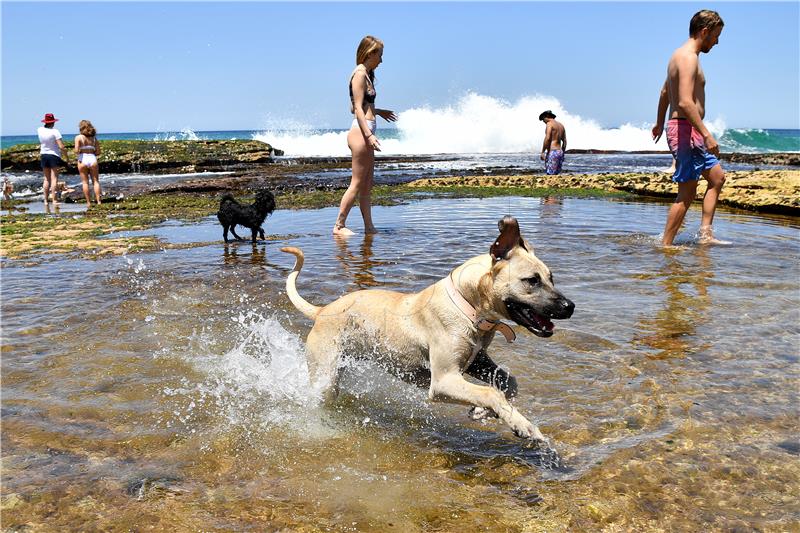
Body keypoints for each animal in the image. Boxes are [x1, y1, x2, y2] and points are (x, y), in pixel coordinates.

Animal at [278, 216, 572, 440]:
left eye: (552, 278)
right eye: (532, 280)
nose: (570, 306)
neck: (467, 306)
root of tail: (322, 311)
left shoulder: (477, 360)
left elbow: (507, 383)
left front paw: (483, 411)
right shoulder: (443, 381)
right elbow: (490, 392)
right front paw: (524, 425)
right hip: (325, 376)